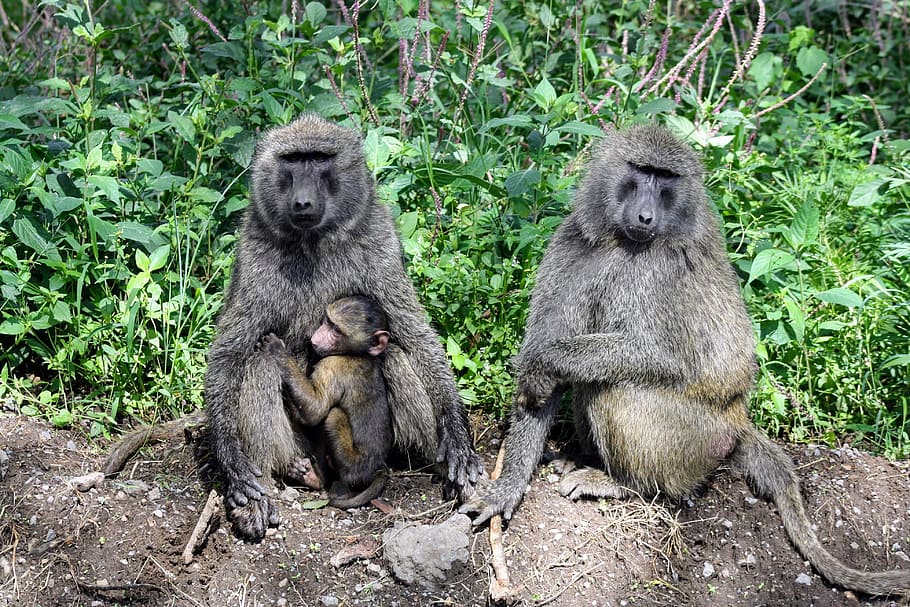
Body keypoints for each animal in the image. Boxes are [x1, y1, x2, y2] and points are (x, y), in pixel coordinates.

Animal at [258, 296, 392, 509]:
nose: (315, 338)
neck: (358, 354)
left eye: (336, 330)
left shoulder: (332, 366)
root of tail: (378, 466)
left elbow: (315, 410)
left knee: (332, 415)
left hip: (351, 465)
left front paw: (277, 350)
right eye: (328, 321)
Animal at [461, 124, 910, 596]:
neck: (620, 242)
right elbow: (545, 372)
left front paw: (542, 362)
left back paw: (623, 485)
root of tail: (737, 418)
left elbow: (661, 358)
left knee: (612, 389)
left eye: (666, 179)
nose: (645, 217)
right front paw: (506, 489)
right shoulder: (571, 245)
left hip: (694, 439)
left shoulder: (658, 274)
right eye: (641, 171)